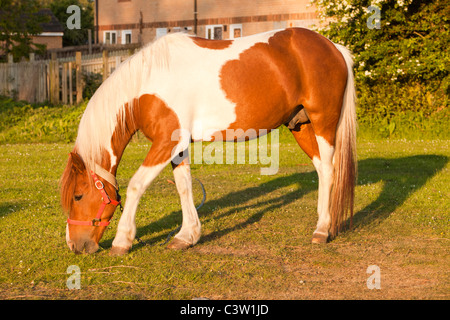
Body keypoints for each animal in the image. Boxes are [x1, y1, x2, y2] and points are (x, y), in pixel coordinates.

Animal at [59, 28, 356, 256]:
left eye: (78, 195)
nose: (74, 245)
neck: (149, 82)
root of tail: (334, 47)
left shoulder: (165, 143)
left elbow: (135, 186)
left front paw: (122, 241)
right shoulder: (178, 147)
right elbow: (184, 187)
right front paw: (187, 236)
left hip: (323, 123)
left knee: (328, 170)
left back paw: (322, 230)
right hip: (300, 126)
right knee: (322, 171)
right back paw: (322, 222)